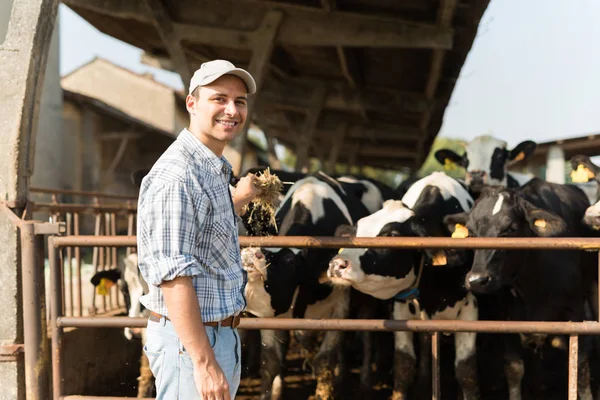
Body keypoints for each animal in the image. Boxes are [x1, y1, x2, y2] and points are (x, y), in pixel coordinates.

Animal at [326, 172, 480, 400]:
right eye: (357, 231)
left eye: (392, 236)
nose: (337, 264)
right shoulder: (400, 310)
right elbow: (404, 366)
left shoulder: (470, 310)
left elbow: (466, 372)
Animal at [442, 178, 592, 400]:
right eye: (472, 232)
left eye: (510, 229)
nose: (477, 280)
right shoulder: (506, 318)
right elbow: (514, 368)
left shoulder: (575, 312)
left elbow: (580, 366)